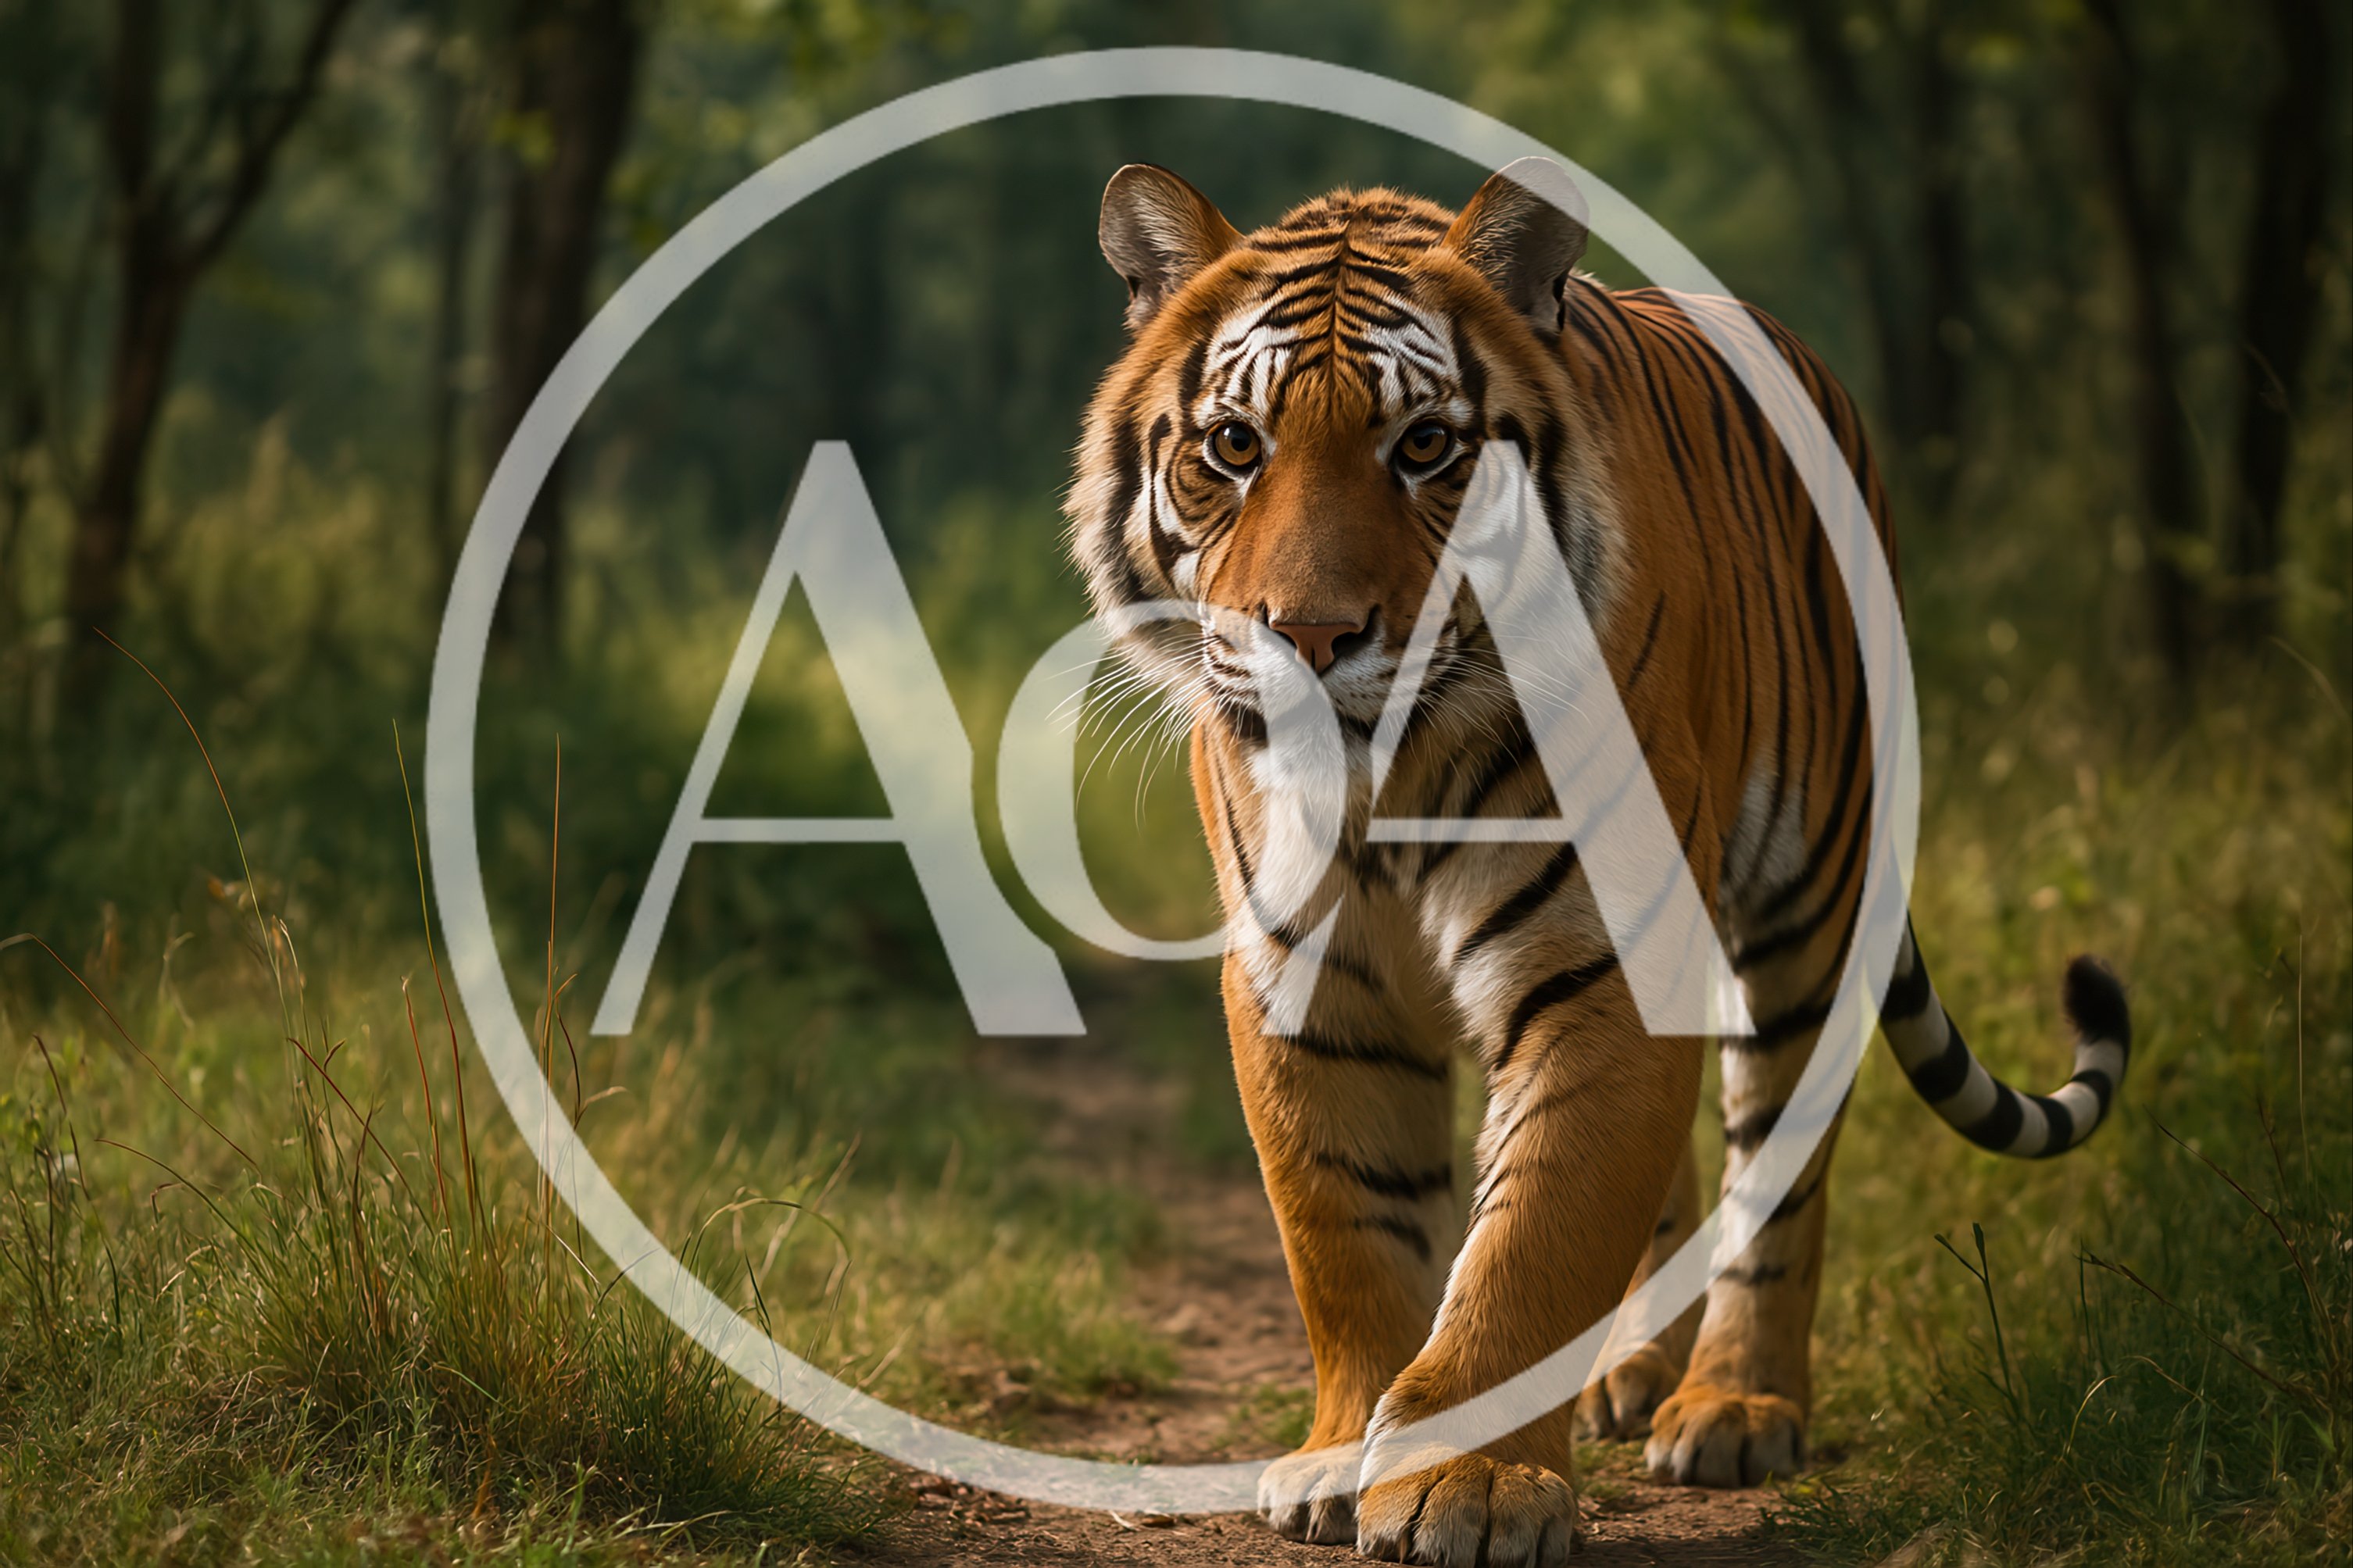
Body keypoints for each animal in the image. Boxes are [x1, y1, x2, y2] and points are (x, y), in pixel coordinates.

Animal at [1063, 157, 2131, 1567]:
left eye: (1425, 447)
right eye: (1234, 447)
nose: (1309, 634)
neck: (1384, 776)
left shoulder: (1603, 959)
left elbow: (1535, 1234)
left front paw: (1467, 1484)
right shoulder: (1307, 972)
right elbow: (1346, 1230)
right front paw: (1342, 1457)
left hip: (1806, 908)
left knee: (1775, 1170)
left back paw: (1731, 1405)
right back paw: (1632, 1371)